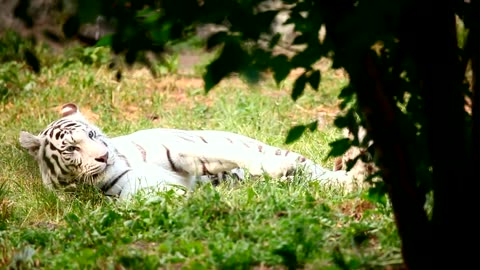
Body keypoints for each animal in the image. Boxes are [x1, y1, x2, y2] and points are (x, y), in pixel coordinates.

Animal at [18, 102, 350, 199]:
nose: (103, 156)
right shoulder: (146, 193)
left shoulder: (180, 152)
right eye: (72, 148)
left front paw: (271, 166)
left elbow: (224, 155)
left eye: (91, 134)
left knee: (311, 169)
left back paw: (346, 180)